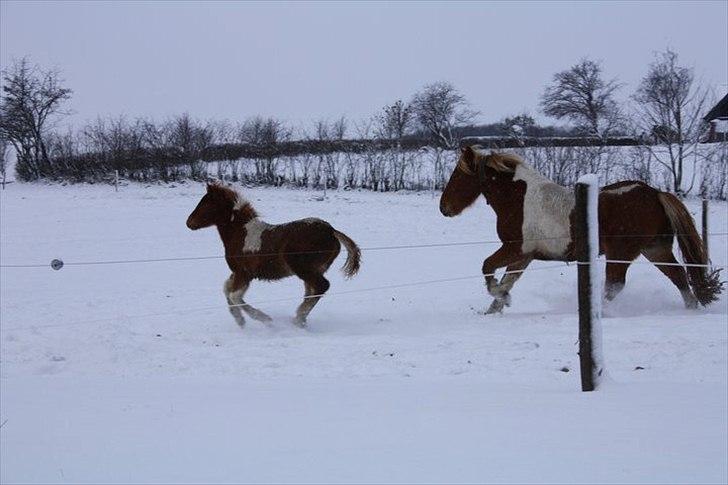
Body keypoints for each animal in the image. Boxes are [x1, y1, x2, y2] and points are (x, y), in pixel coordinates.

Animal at [186, 183, 360, 328]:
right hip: (315, 270)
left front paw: (263, 319)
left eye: (205, 203)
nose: (189, 222)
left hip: (303, 269)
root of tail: (332, 231)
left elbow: (235, 296)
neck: (241, 233)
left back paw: (298, 317)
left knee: (321, 286)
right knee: (312, 291)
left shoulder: (244, 274)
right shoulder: (238, 274)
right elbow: (227, 290)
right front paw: (239, 320)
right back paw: (301, 321)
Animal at [438, 144, 724, 314]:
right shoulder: (524, 256)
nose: (444, 207)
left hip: (621, 253)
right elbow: (508, 280)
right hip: (655, 249)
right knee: (678, 277)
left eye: (459, 176)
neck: (518, 199)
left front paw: (502, 298)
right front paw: (495, 308)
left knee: (614, 286)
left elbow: (487, 267)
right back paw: (692, 308)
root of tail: (654, 193)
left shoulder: (514, 248)